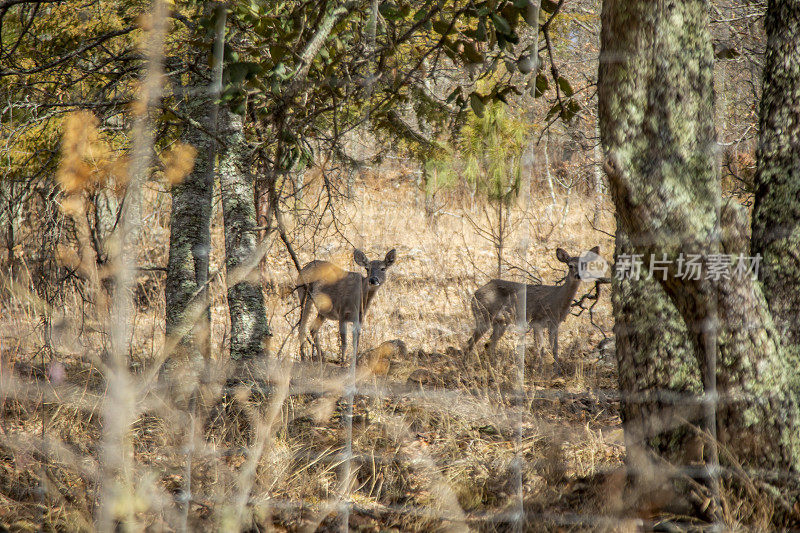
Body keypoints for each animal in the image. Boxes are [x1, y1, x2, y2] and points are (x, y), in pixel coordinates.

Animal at [462, 246, 600, 374]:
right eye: (570, 265)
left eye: (585, 265)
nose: (578, 275)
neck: (557, 301)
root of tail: (474, 294)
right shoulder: (537, 321)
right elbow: (540, 348)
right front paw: (539, 370)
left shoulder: (555, 324)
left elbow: (555, 348)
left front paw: (557, 370)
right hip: (483, 315)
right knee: (470, 343)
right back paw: (466, 367)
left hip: (500, 323)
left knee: (488, 344)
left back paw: (494, 368)